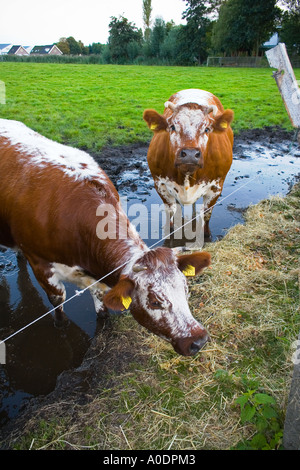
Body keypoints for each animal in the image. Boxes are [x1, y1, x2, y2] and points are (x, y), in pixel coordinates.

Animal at [0, 118, 211, 356]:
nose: (198, 340)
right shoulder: (42, 267)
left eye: (185, 288)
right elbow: (59, 306)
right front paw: (61, 327)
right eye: (155, 302)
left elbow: (101, 304)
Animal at [143, 88, 234, 239]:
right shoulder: (160, 184)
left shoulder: (217, 187)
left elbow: (207, 213)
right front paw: (170, 230)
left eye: (207, 129)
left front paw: (206, 234)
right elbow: (171, 210)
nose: (190, 154)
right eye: (172, 127)